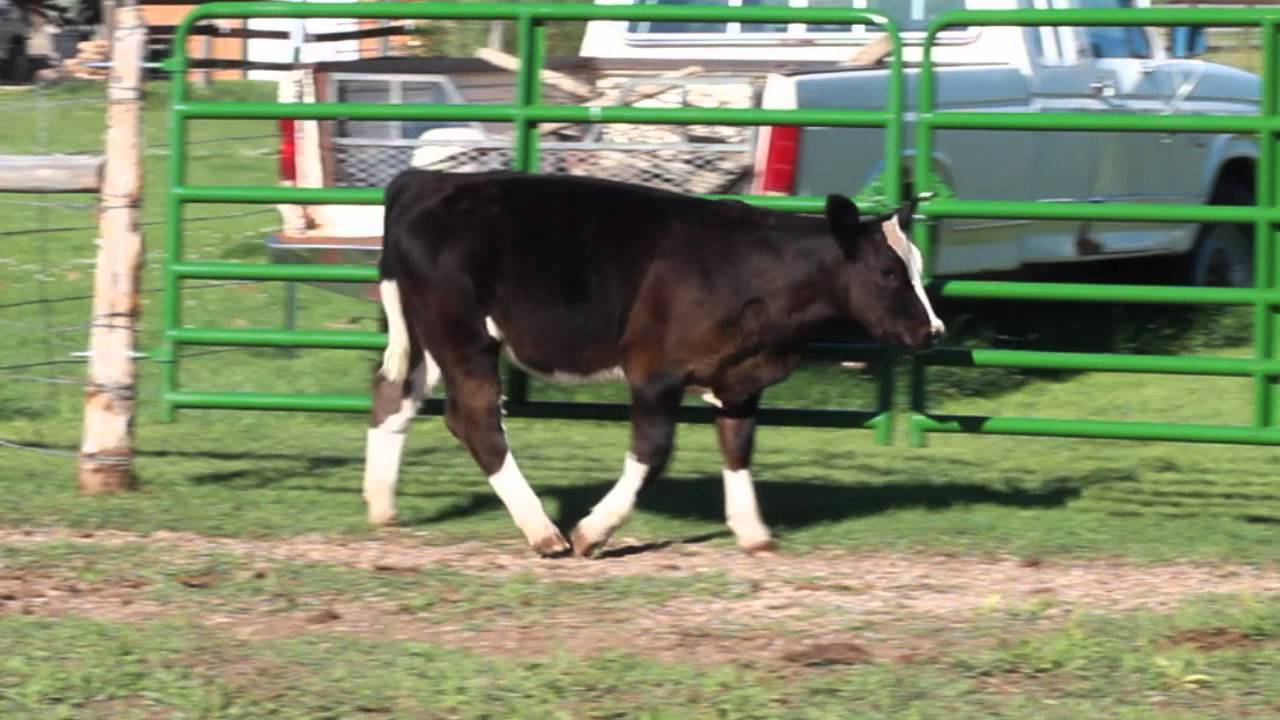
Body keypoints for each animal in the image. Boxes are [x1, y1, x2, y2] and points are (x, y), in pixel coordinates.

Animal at [363, 170, 944, 557]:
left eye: (916, 266)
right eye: (888, 271)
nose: (932, 330)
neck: (753, 269)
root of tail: (426, 180)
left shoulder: (740, 379)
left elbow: (738, 447)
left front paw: (753, 532)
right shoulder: (654, 371)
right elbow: (652, 452)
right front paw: (593, 532)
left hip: (425, 335)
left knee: (393, 394)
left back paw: (382, 507)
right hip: (464, 337)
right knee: (477, 420)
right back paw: (544, 531)